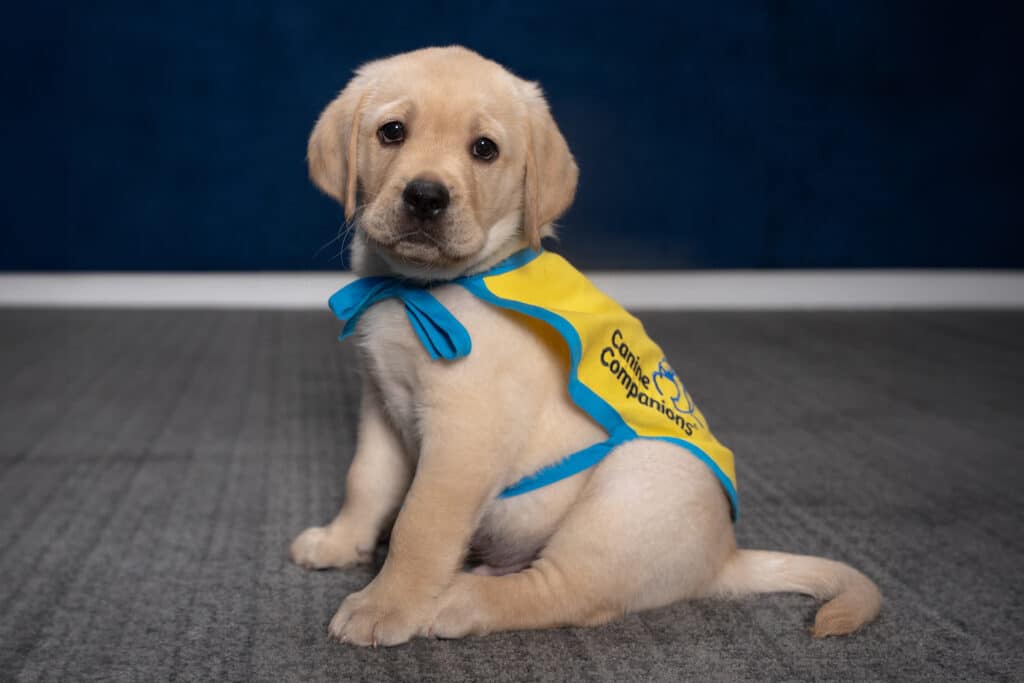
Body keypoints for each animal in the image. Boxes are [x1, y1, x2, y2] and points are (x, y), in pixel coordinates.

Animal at [288, 44, 880, 647]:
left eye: (484, 149)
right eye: (391, 132)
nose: (426, 196)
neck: (415, 290)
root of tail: (724, 558)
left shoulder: (465, 436)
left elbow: (420, 522)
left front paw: (386, 604)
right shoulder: (382, 403)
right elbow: (366, 481)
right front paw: (341, 541)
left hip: (630, 492)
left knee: (567, 592)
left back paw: (460, 600)